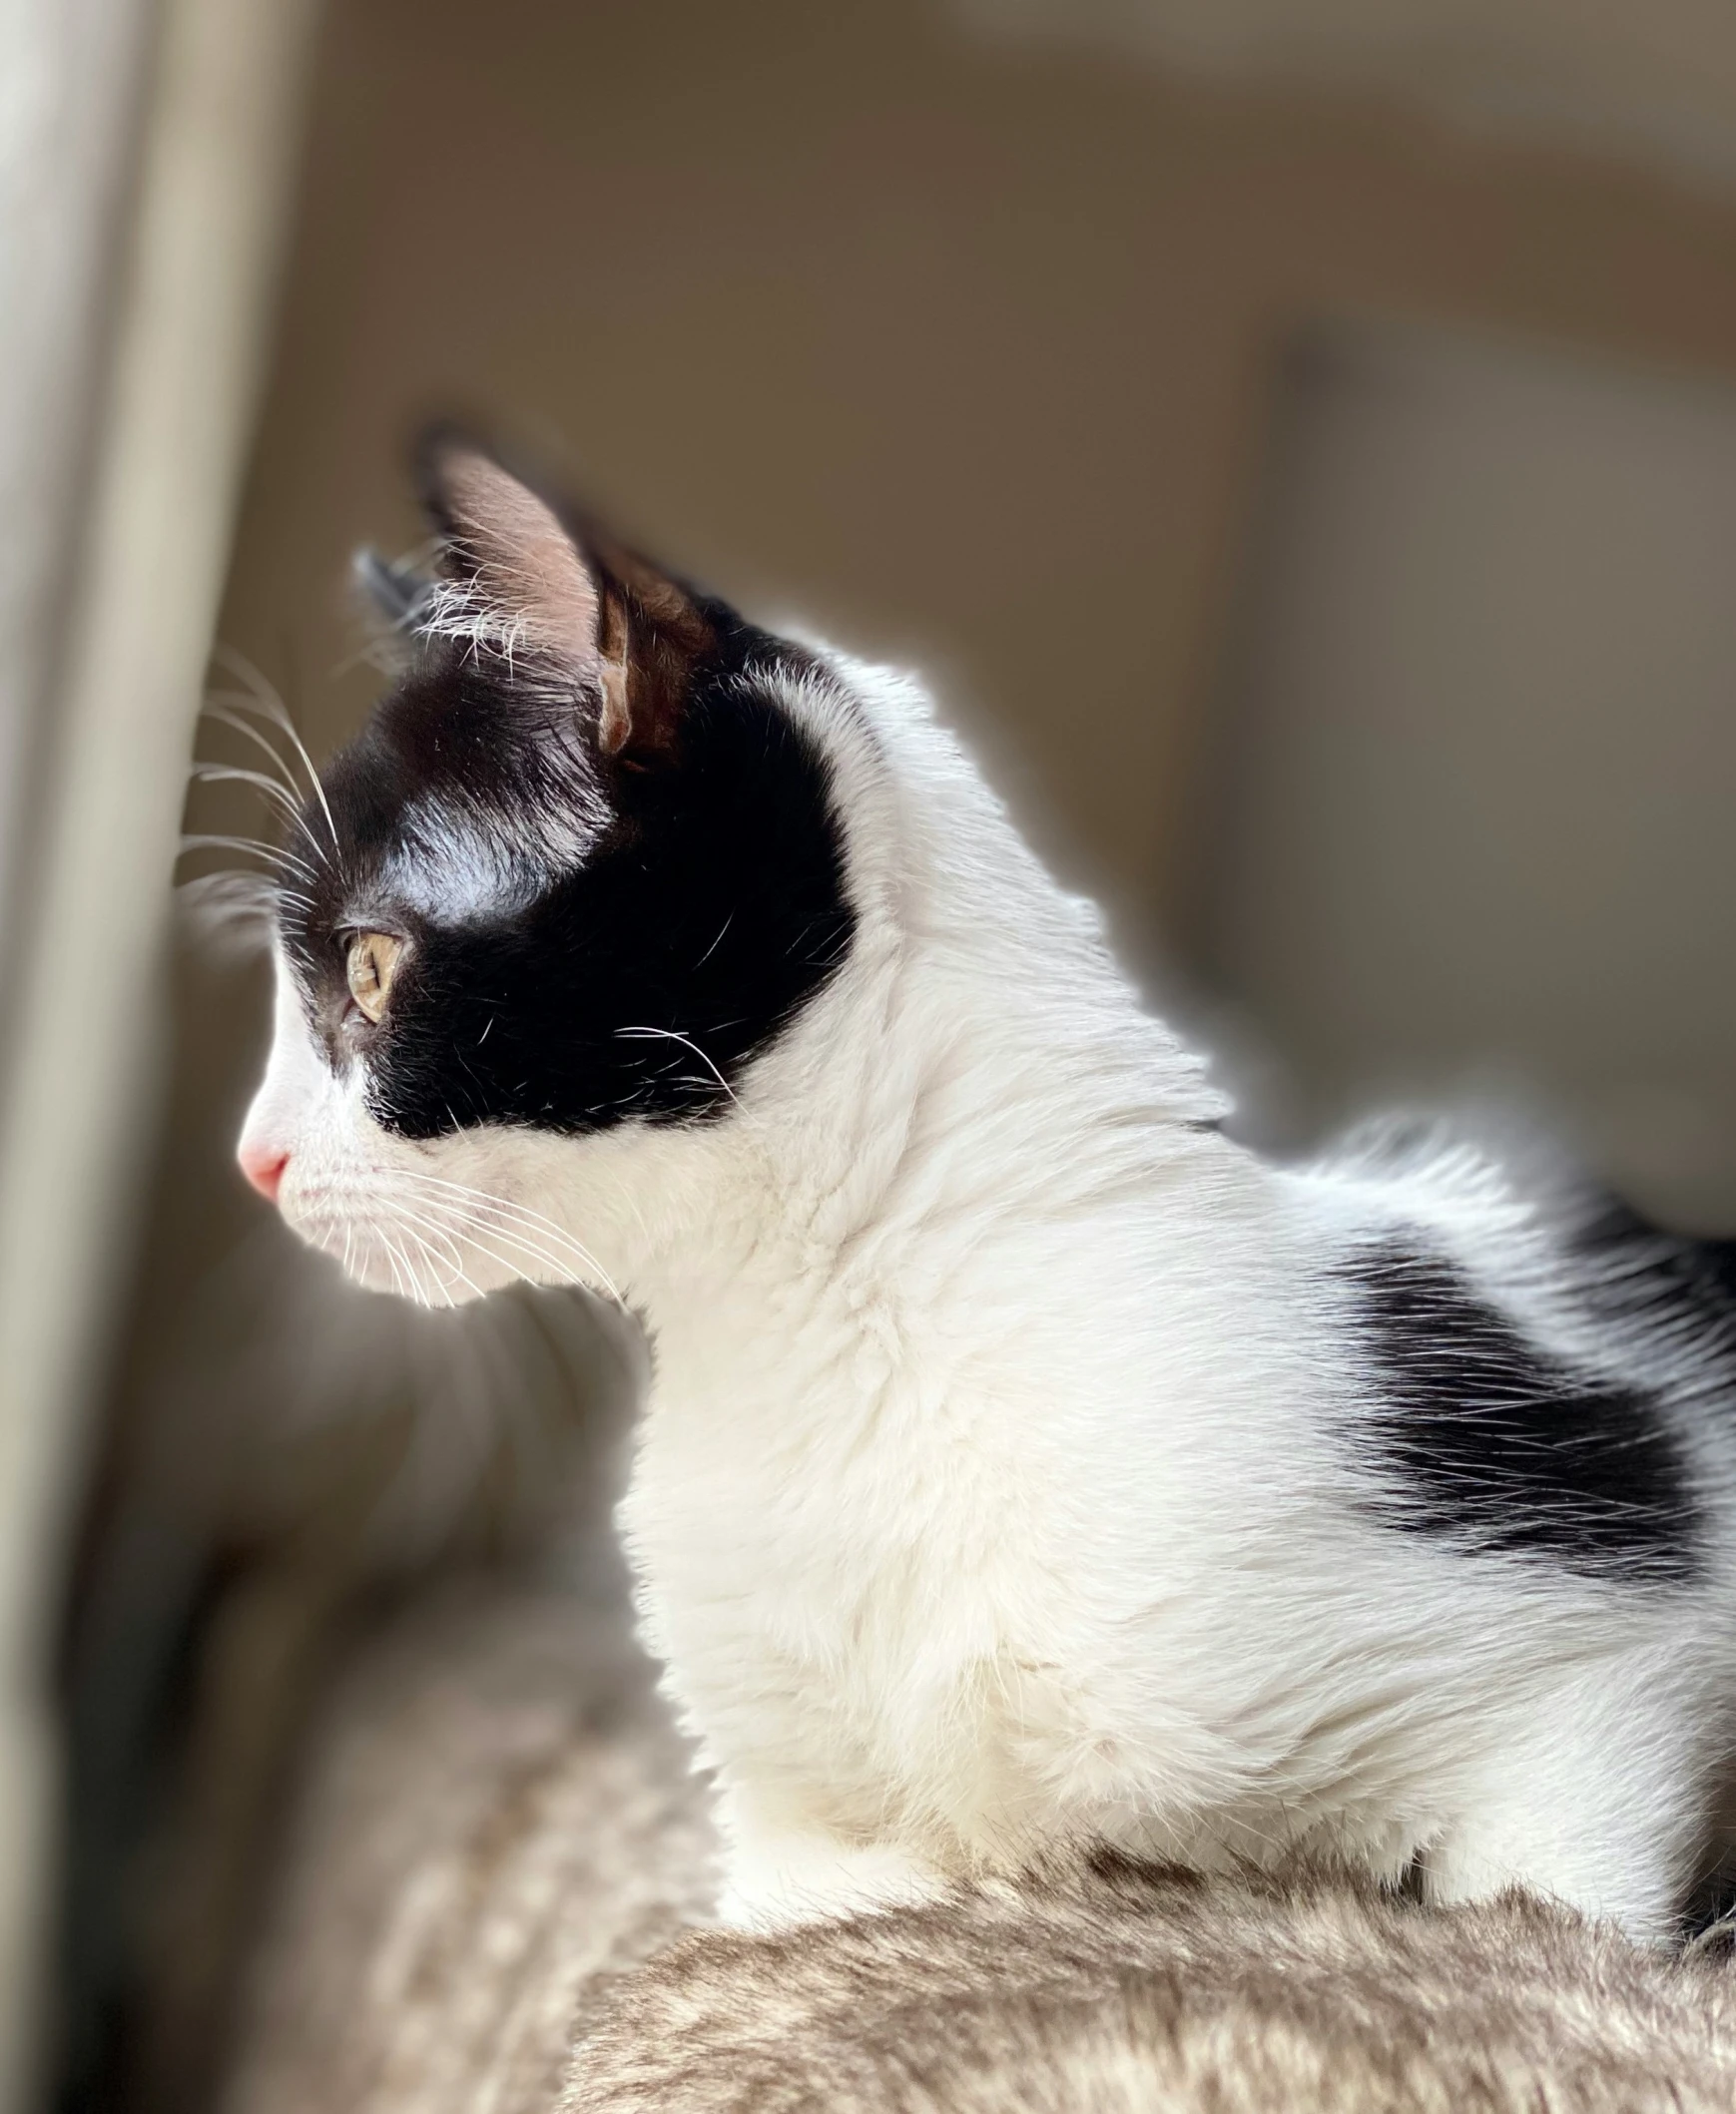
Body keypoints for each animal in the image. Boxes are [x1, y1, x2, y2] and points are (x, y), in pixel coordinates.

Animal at [237, 433, 1733, 1944]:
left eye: (366, 970)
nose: (255, 1158)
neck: (833, 1335)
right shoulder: (797, 1848)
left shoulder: (1600, 1659)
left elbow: (1547, 1893)